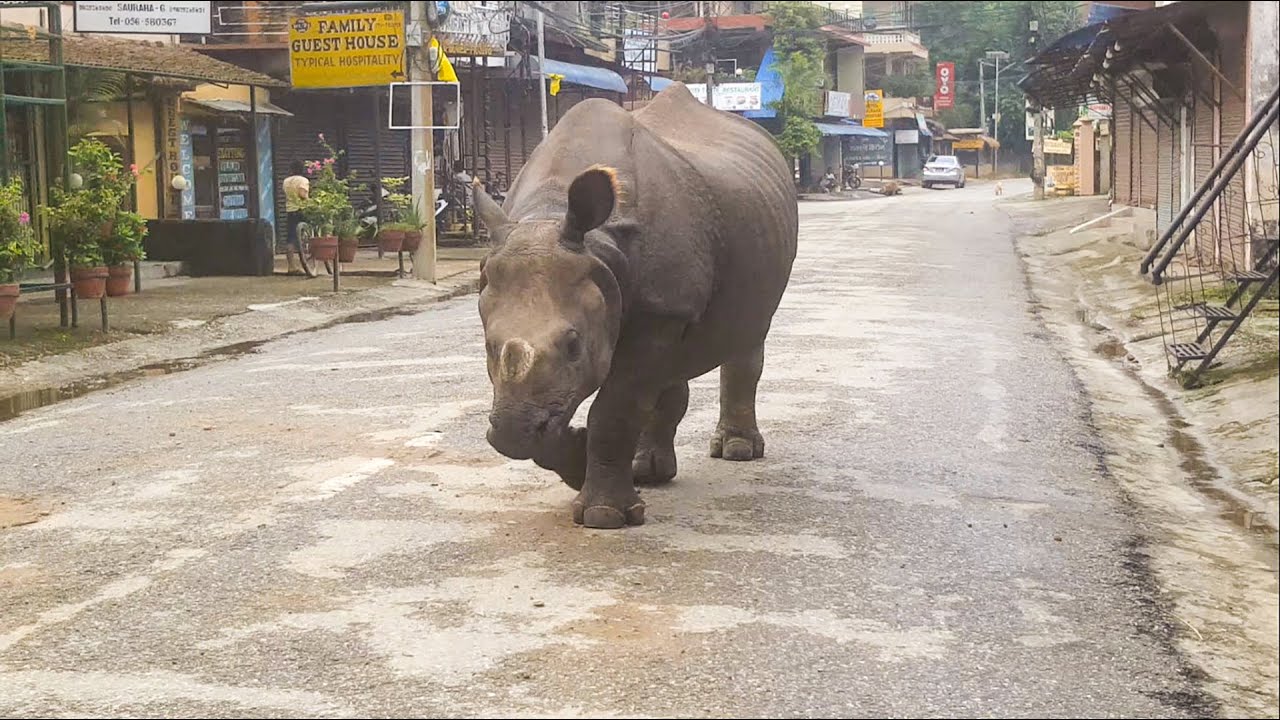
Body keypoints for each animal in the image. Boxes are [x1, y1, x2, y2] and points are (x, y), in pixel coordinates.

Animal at [471, 81, 798, 529]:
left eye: (573, 345)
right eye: (488, 346)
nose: (508, 430)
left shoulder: (661, 310)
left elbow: (616, 408)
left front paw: (604, 515)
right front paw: (576, 463)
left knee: (747, 335)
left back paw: (737, 451)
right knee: (671, 370)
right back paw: (649, 471)